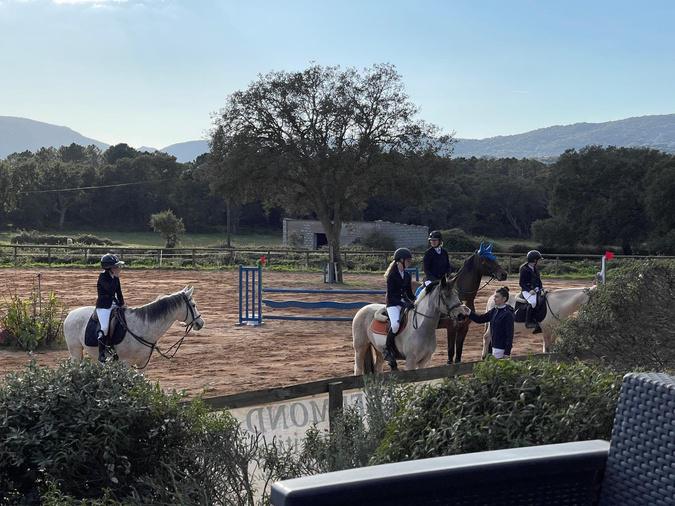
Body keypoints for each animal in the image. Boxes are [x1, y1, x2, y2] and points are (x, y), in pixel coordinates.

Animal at [65, 284, 205, 368]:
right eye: (193, 305)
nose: (201, 323)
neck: (143, 327)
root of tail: (70, 314)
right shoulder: (125, 363)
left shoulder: (142, 363)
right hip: (75, 351)